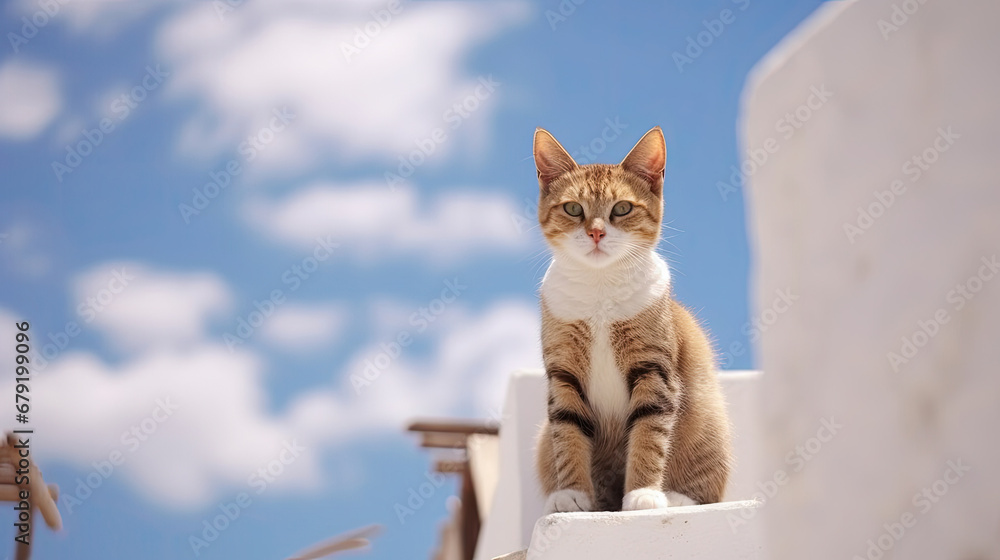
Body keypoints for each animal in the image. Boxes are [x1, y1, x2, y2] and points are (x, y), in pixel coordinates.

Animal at [532, 126, 736, 512]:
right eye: (573, 208)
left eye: (622, 208)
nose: (596, 233)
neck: (600, 286)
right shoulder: (563, 373)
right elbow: (567, 433)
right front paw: (572, 494)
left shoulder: (653, 369)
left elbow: (649, 433)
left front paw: (643, 494)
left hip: (708, 419)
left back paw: (676, 498)